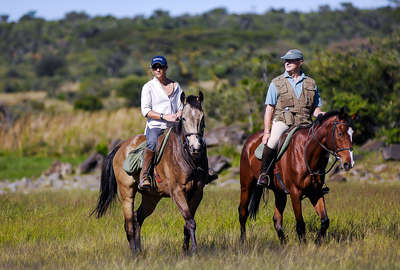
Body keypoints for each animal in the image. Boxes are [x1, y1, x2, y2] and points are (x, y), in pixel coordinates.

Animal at [92, 92, 208, 254]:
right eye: (183, 118)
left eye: (202, 117)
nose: (195, 147)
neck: (187, 156)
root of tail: (120, 147)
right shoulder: (177, 191)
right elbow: (190, 221)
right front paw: (194, 251)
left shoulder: (198, 192)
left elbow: (187, 222)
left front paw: (186, 251)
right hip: (127, 194)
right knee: (129, 224)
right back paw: (134, 253)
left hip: (151, 197)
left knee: (137, 218)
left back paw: (140, 251)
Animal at [239, 108, 354, 244]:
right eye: (340, 134)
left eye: (352, 134)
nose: (349, 163)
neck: (306, 154)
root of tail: (249, 141)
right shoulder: (295, 193)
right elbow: (300, 224)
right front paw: (303, 245)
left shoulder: (315, 192)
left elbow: (325, 221)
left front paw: (317, 242)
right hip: (246, 185)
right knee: (243, 212)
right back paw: (242, 241)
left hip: (279, 193)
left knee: (277, 220)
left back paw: (283, 243)